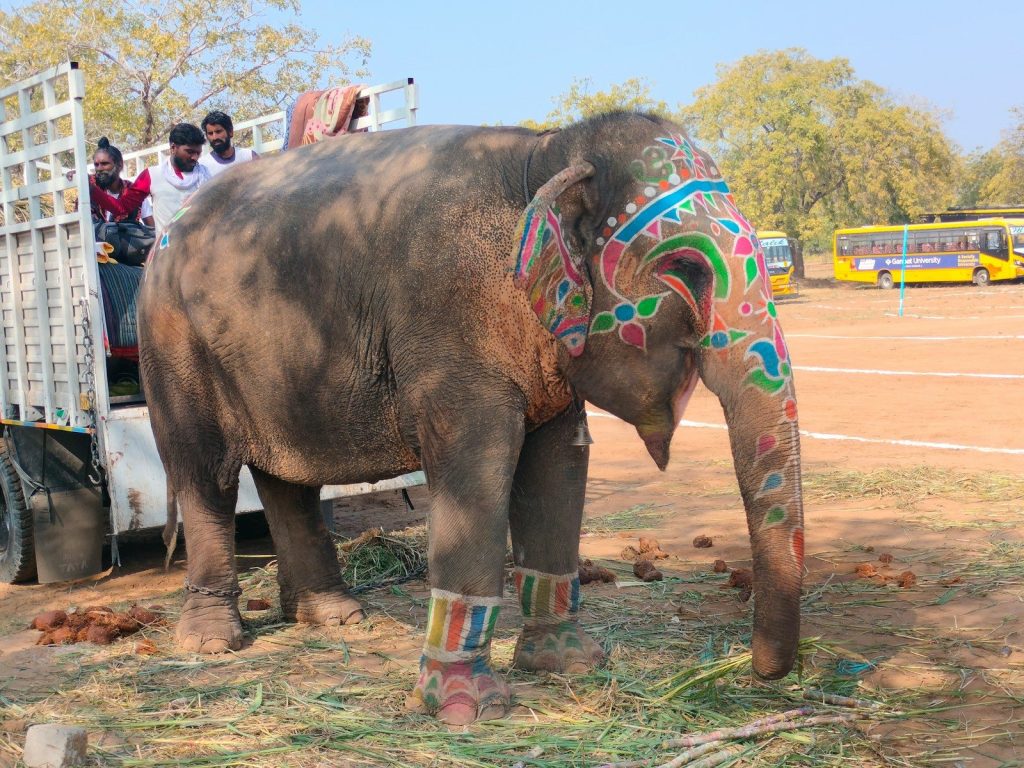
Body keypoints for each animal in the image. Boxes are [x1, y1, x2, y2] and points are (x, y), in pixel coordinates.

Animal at [137, 111, 804, 725]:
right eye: (687, 270)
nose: (758, 672)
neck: (547, 151)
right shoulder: (448, 324)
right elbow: (478, 463)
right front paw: (468, 707)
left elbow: (559, 465)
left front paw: (570, 664)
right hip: (172, 344)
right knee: (207, 475)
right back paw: (213, 642)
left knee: (287, 481)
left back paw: (337, 618)